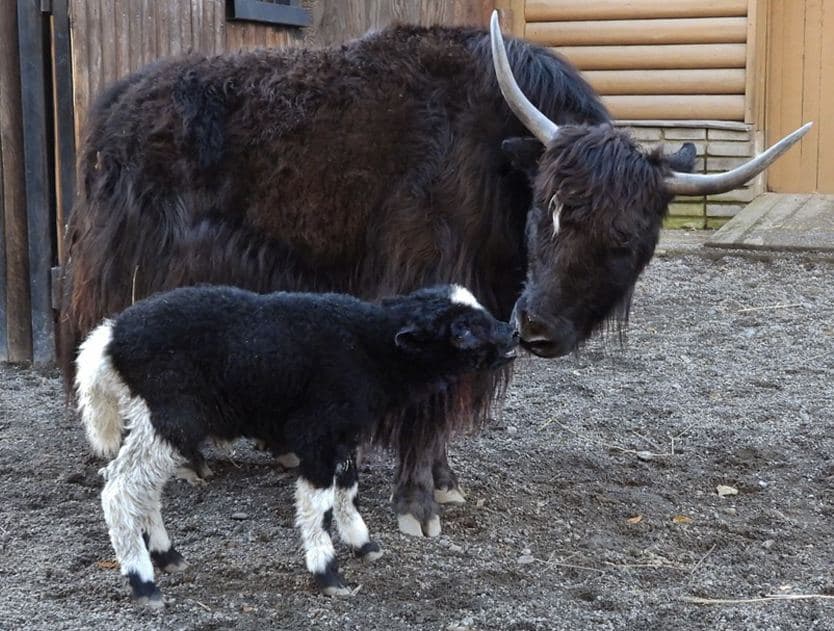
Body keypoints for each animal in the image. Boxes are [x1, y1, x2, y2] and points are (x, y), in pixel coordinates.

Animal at [75, 284, 516, 604]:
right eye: (461, 330)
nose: (511, 333)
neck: (370, 349)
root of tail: (108, 340)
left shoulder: (344, 434)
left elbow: (347, 491)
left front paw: (363, 543)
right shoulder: (317, 432)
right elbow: (316, 505)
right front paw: (328, 573)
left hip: (158, 421)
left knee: (143, 488)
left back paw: (166, 556)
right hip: (169, 415)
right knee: (119, 487)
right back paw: (143, 582)